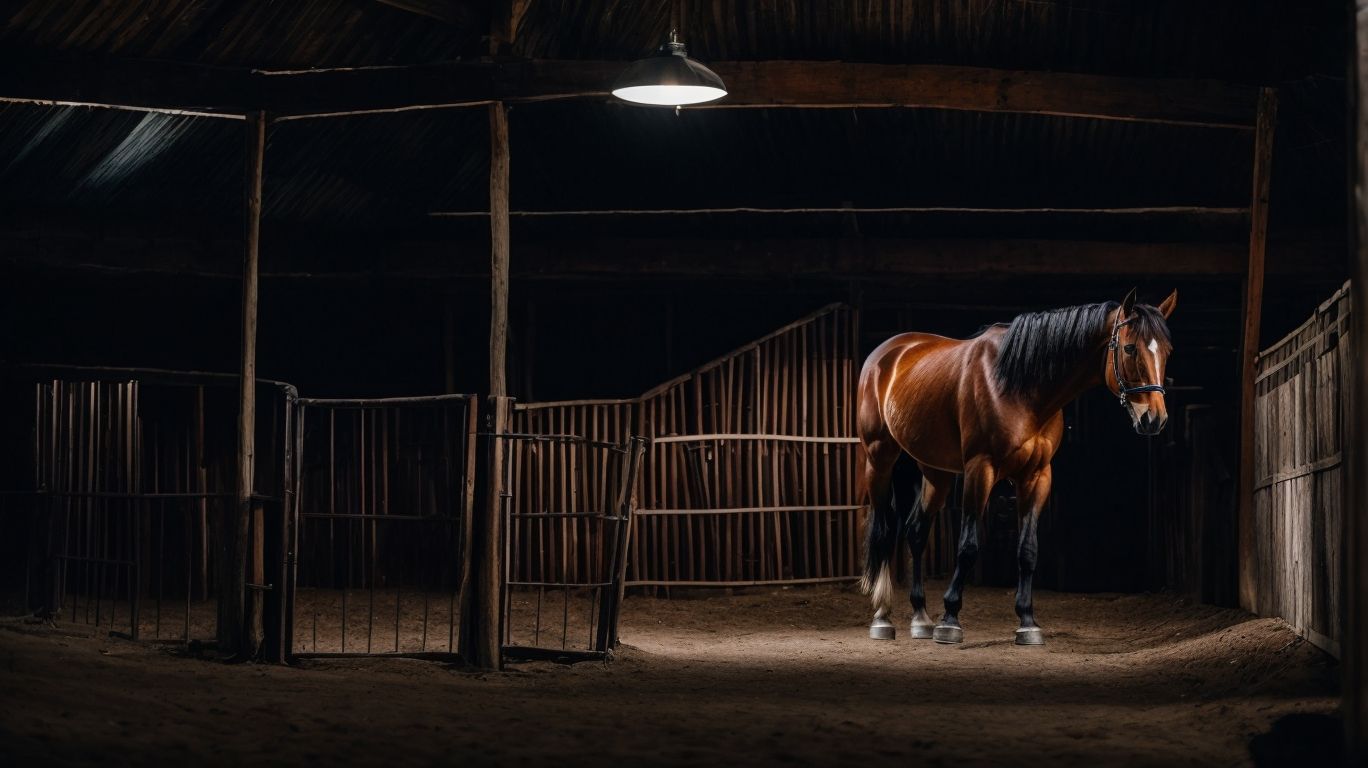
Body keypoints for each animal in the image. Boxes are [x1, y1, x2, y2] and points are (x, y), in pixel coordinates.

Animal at [858, 288, 1177, 645]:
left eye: (1167, 351)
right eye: (1130, 347)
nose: (1155, 419)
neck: (1020, 386)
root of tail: (888, 353)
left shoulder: (1037, 476)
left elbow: (1028, 550)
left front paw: (1027, 622)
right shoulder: (980, 469)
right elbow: (968, 546)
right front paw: (950, 620)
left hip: (934, 471)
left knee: (916, 531)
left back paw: (920, 618)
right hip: (880, 458)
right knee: (884, 531)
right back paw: (883, 618)